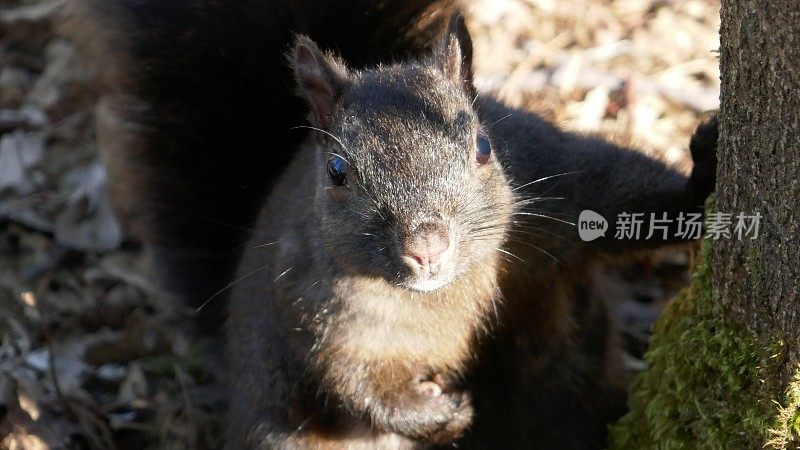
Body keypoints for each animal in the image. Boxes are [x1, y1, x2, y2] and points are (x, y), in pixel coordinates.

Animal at [65, 1, 720, 448]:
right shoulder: (320, 310)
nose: (426, 247)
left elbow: (625, 201)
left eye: (483, 146)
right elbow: (355, 381)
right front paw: (443, 412)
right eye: (337, 171)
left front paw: (706, 174)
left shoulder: (556, 179)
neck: (442, 295)